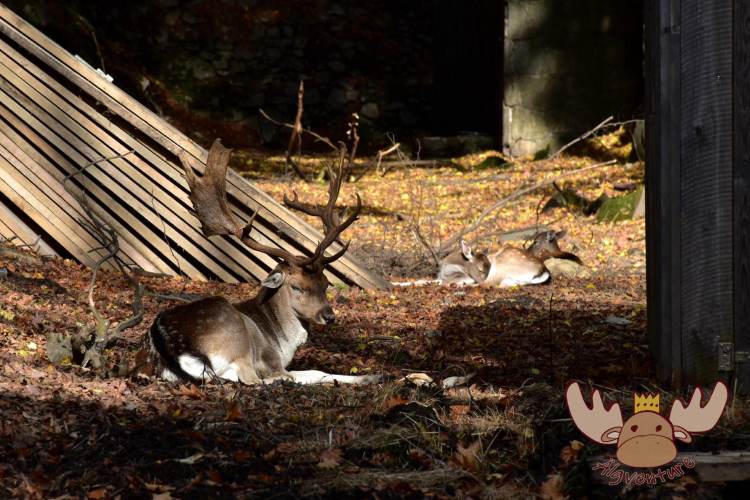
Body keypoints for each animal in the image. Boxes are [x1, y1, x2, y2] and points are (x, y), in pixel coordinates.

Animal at [141, 140, 379, 386]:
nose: (329, 316)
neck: (280, 341)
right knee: (254, 380)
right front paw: (370, 376)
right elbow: (313, 371)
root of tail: (169, 349)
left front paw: (370, 375)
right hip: (237, 337)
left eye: (325, 284)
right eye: (296, 287)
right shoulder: (271, 359)